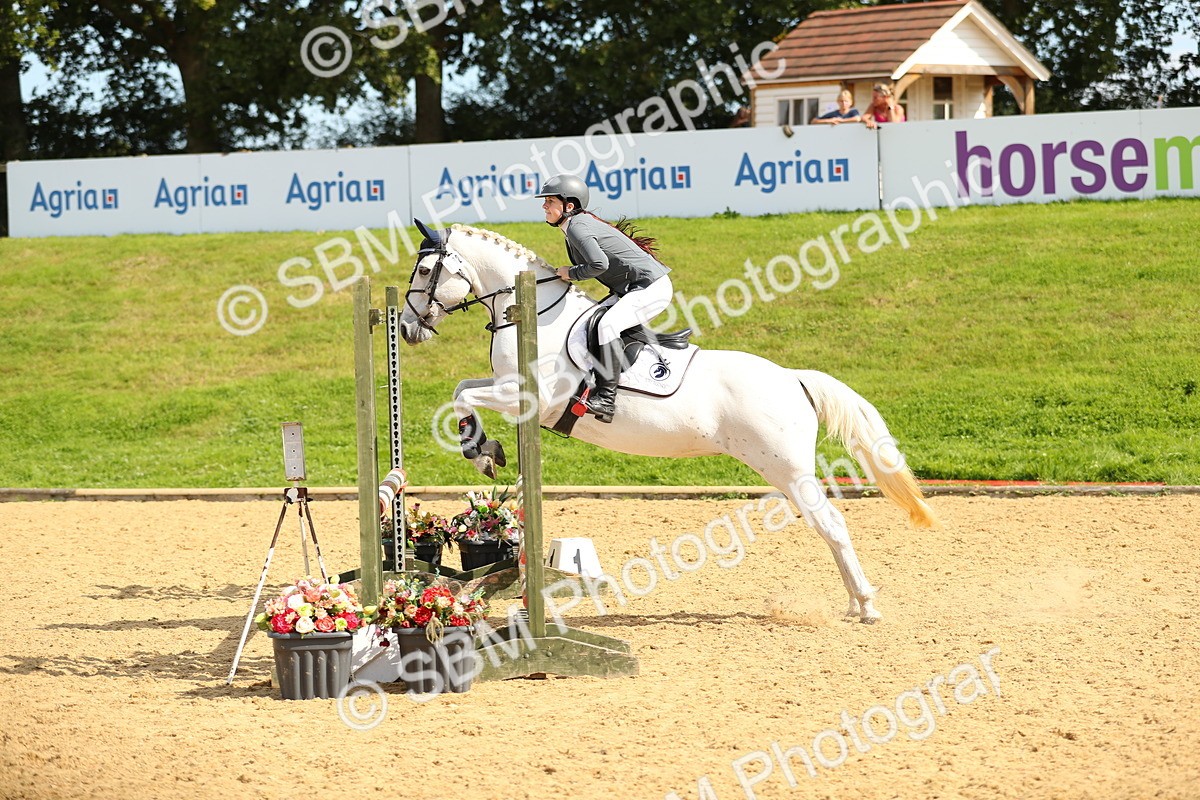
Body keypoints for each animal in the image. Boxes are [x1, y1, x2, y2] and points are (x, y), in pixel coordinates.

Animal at [399, 222, 937, 623]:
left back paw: (865, 604)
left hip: (786, 468)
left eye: (425, 269)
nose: (405, 328)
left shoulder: (530, 399)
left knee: (832, 524)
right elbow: (461, 388)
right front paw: (487, 451)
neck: (533, 313)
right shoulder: (508, 390)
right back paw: (853, 602)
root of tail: (792, 378)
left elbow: (462, 396)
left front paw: (480, 453)